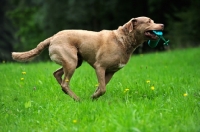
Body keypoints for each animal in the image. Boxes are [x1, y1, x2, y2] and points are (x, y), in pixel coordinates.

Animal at [11, 16, 164, 101]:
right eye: (149, 21)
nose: (162, 24)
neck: (123, 40)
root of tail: (53, 37)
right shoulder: (100, 67)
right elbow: (102, 88)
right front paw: (92, 98)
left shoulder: (110, 72)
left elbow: (100, 87)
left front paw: (93, 97)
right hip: (71, 62)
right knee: (65, 83)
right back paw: (77, 99)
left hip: (75, 61)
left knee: (57, 75)